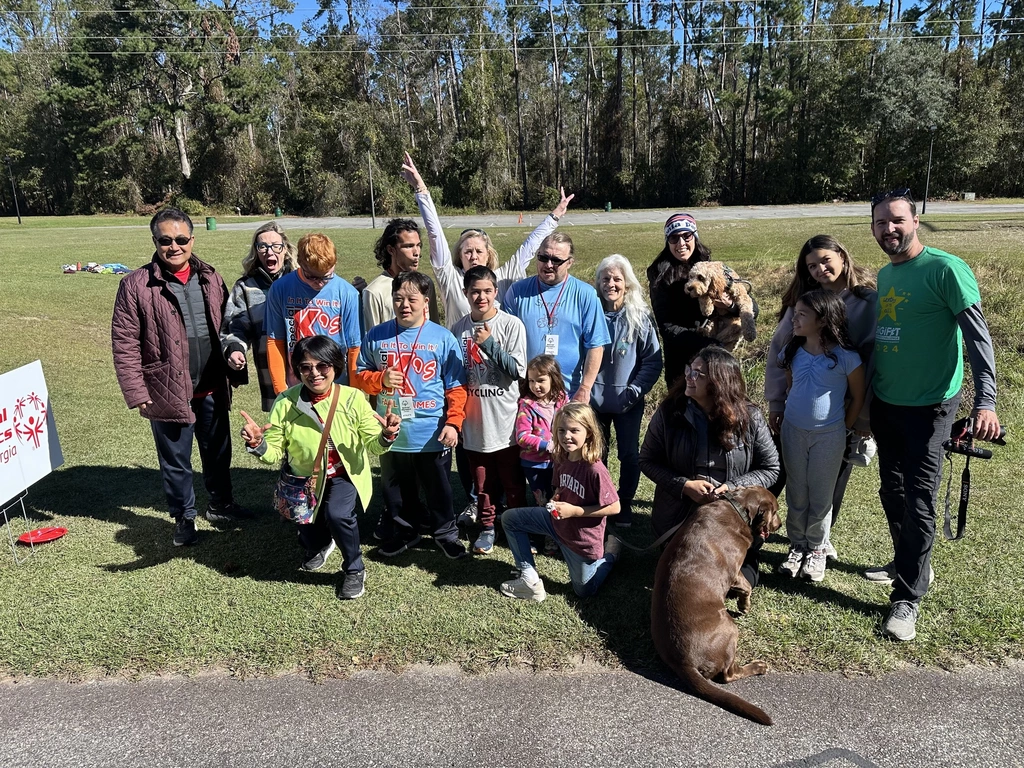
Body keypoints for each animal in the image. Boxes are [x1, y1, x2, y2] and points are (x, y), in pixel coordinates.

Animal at [651, 487, 778, 729]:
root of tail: (684, 662)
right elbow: (747, 587)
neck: (737, 506)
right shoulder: (735, 571)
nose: (780, 524)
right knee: (729, 675)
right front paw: (744, 605)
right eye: (775, 511)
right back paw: (758, 666)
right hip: (730, 629)